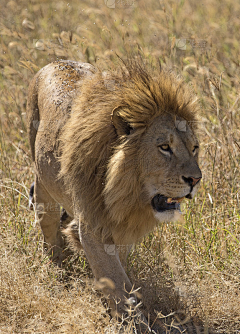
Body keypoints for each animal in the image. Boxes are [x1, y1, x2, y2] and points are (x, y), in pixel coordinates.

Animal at [26, 58, 202, 330]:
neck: (127, 197)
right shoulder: (92, 229)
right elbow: (117, 282)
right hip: (44, 183)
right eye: (164, 147)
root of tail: (56, 61)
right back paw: (58, 271)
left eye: (194, 148)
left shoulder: (121, 231)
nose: (195, 179)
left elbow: (120, 278)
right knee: (49, 230)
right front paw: (134, 324)